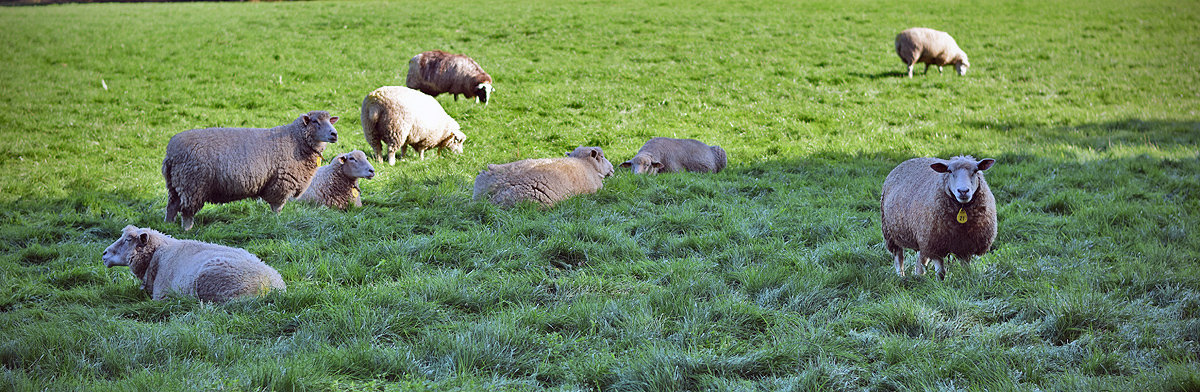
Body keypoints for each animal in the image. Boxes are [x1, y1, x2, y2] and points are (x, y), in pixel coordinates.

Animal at [159, 110, 338, 231]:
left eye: (331, 121)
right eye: (315, 121)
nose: (334, 134)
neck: (295, 140)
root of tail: (171, 152)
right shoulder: (281, 183)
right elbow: (277, 208)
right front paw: (277, 222)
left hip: (175, 184)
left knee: (172, 206)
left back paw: (168, 226)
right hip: (192, 184)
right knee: (187, 212)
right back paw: (187, 229)